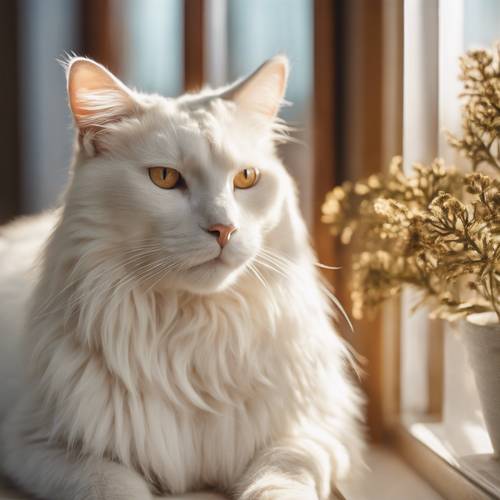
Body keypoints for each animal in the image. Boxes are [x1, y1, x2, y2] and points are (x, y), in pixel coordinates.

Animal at [0, 56, 362, 498]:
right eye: (164, 178)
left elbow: (282, 475)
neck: (193, 336)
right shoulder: (38, 442)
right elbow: (114, 484)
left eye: (245, 178)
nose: (224, 229)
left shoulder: (313, 430)